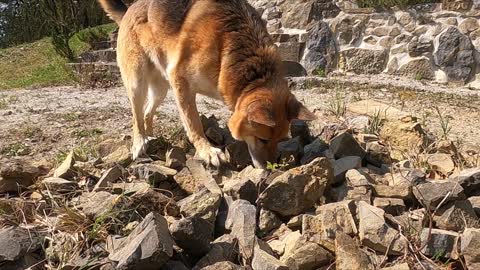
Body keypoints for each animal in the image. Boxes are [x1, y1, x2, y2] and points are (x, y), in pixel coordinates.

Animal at [98, 0, 316, 168]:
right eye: (263, 139)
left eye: (280, 140)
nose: (271, 167)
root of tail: (130, 8)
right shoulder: (181, 83)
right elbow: (194, 124)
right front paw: (207, 151)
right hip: (137, 83)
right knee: (136, 117)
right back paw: (139, 143)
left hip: (160, 90)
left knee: (146, 114)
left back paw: (150, 137)